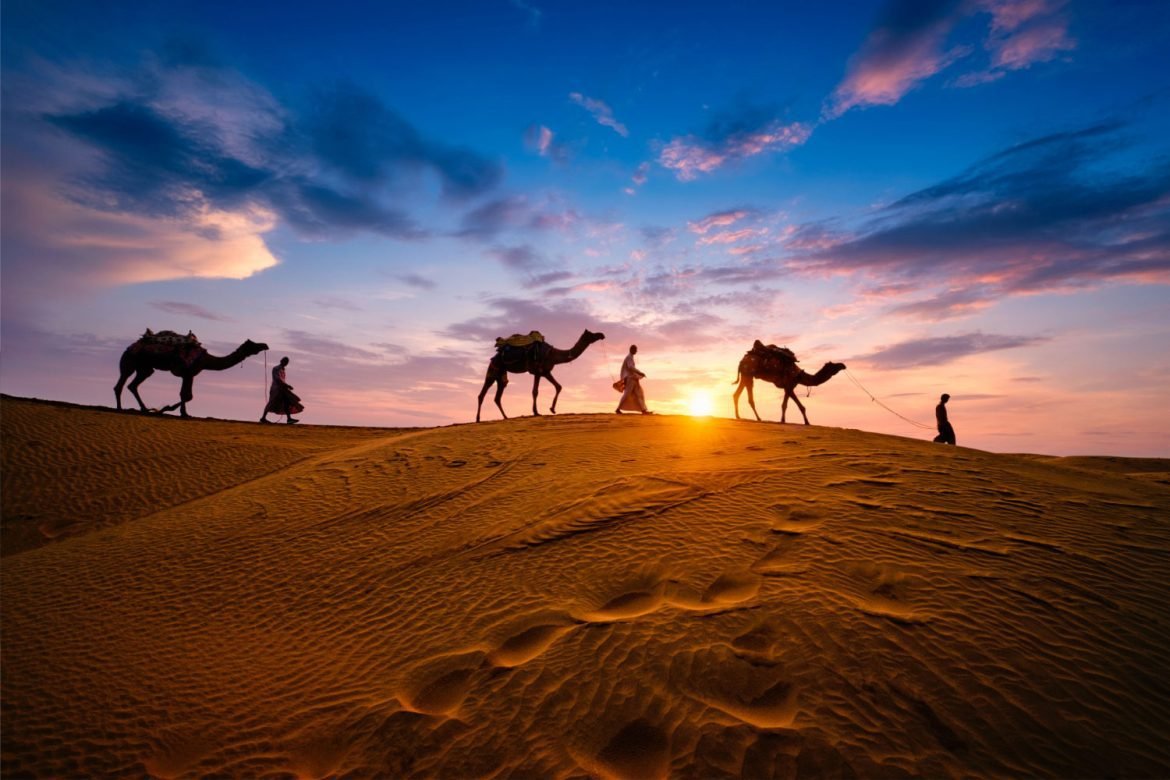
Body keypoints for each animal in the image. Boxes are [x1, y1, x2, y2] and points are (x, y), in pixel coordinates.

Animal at [115, 332, 269, 418]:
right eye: (253, 344)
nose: (265, 345)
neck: (206, 360)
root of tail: (129, 347)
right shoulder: (188, 372)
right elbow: (186, 395)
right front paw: (172, 410)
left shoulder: (190, 375)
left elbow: (187, 395)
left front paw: (174, 411)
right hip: (129, 361)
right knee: (121, 384)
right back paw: (120, 408)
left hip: (145, 368)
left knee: (133, 385)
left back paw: (145, 409)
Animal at [476, 329, 605, 422]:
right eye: (591, 334)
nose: (602, 334)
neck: (553, 354)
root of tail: (494, 356)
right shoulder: (538, 371)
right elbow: (535, 391)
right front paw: (536, 412)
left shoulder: (546, 372)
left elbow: (558, 386)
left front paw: (552, 409)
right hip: (494, 369)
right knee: (482, 394)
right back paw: (478, 419)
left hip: (501, 375)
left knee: (498, 396)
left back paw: (506, 417)